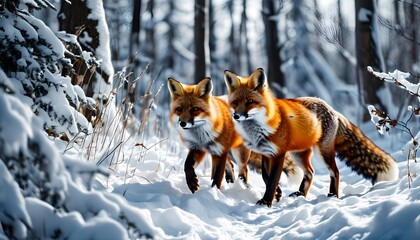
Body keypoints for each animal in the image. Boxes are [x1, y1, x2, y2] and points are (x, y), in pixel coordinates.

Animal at [223, 68, 398, 207]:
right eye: (235, 102)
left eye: (250, 101)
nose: (237, 116)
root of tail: (332, 109)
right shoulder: (266, 153)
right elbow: (266, 177)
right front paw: (277, 194)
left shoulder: (278, 154)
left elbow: (272, 180)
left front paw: (266, 202)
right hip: (298, 154)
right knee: (310, 173)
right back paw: (301, 194)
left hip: (322, 152)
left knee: (335, 172)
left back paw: (332, 196)